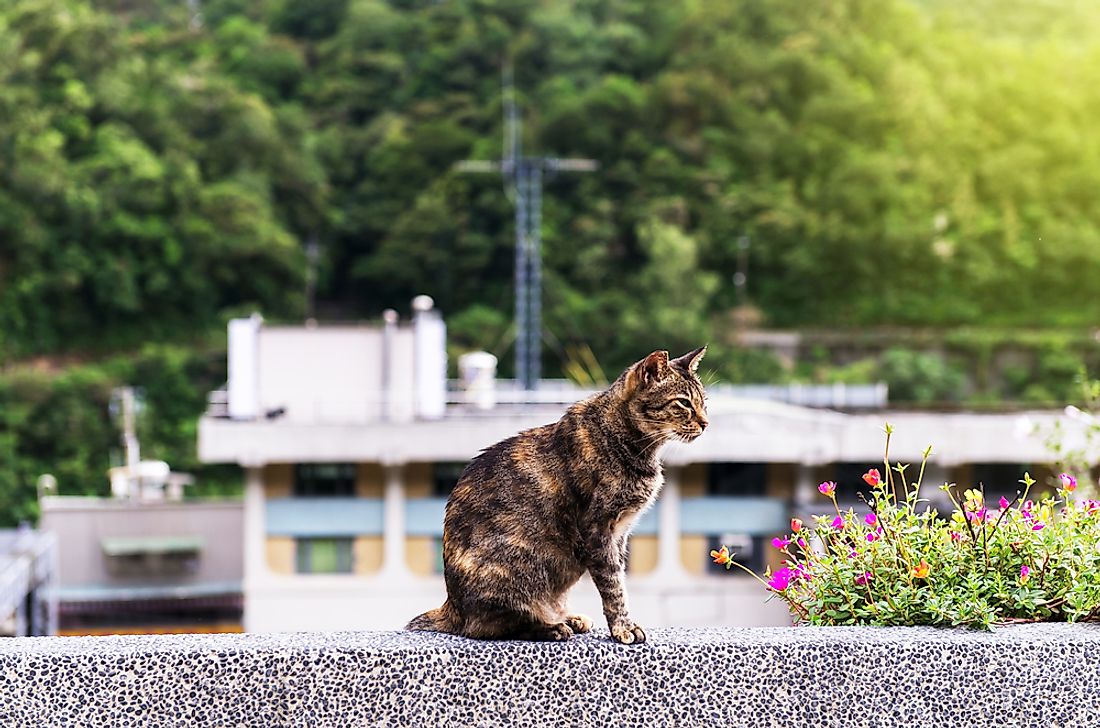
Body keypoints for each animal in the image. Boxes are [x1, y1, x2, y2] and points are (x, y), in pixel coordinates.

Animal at [409, 347, 708, 646]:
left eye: (703, 401)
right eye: (683, 403)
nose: (705, 423)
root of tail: (452, 607)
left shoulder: (620, 533)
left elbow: (619, 577)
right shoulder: (598, 529)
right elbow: (614, 585)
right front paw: (623, 627)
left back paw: (568, 618)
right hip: (515, 565)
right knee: (488, 626)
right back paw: (551, 627)